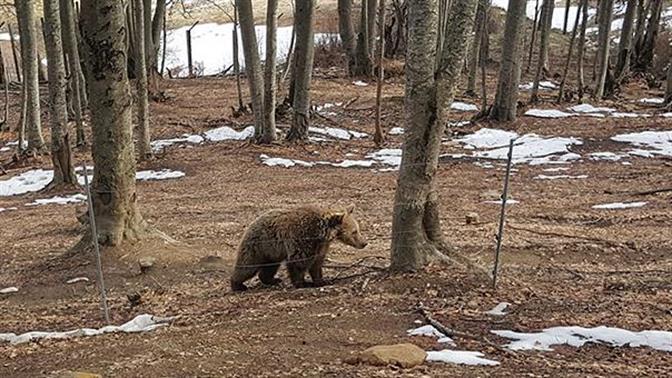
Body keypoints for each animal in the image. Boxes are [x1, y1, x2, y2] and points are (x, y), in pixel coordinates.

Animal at [230, 205, 368, 290]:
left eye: (358, 229)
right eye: (354, 232)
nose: (364, 243)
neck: (322, 233)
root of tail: (251, 223)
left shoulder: (320, 246)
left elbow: (317, 264)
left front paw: (321, 281)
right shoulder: (302, 237)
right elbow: (299, 262)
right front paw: (302, 283)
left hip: (272, 252)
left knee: (270, 266)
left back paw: (273, 280)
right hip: (259, 245)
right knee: (248, 265)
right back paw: (238, 285)